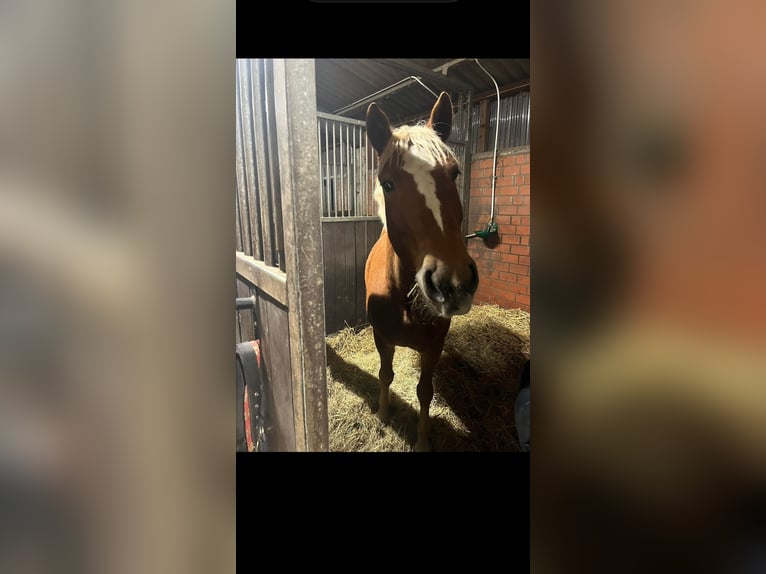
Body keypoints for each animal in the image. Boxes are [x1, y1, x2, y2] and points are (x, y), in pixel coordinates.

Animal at [364, 92, 479, 451]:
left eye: (454, 173)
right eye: (387, 184)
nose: (453, 282)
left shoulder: (434, 347)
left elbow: (425, 392)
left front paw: (423, 439)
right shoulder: (381, 337)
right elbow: (385, 375)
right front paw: (383, 415)